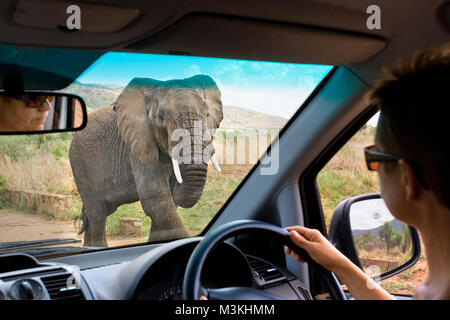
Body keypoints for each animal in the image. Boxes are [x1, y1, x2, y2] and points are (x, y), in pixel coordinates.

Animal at [70, 75, 223, 248]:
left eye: (207, 114)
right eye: (161, 117)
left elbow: (167, 203)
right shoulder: (137, 143)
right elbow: (156, 198)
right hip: (79, 162)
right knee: (97, 215)